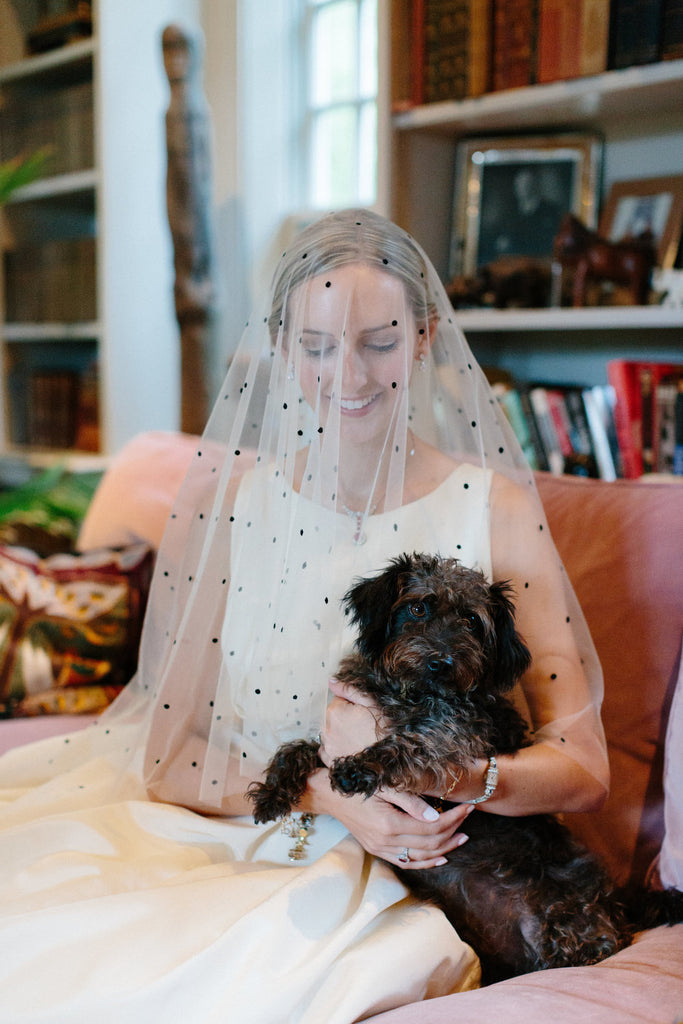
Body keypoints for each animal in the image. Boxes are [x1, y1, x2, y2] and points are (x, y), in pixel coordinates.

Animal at [249, 552, 683, 983]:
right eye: (418, 607)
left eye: (472, 621)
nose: (441, 662)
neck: (410, 693)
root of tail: (619, 903)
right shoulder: (339, 732)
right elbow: (301, 749)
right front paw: (272, 791)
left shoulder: (453, 737)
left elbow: (409, 743)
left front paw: (359, 768)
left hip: (570, 916)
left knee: (592, 944)